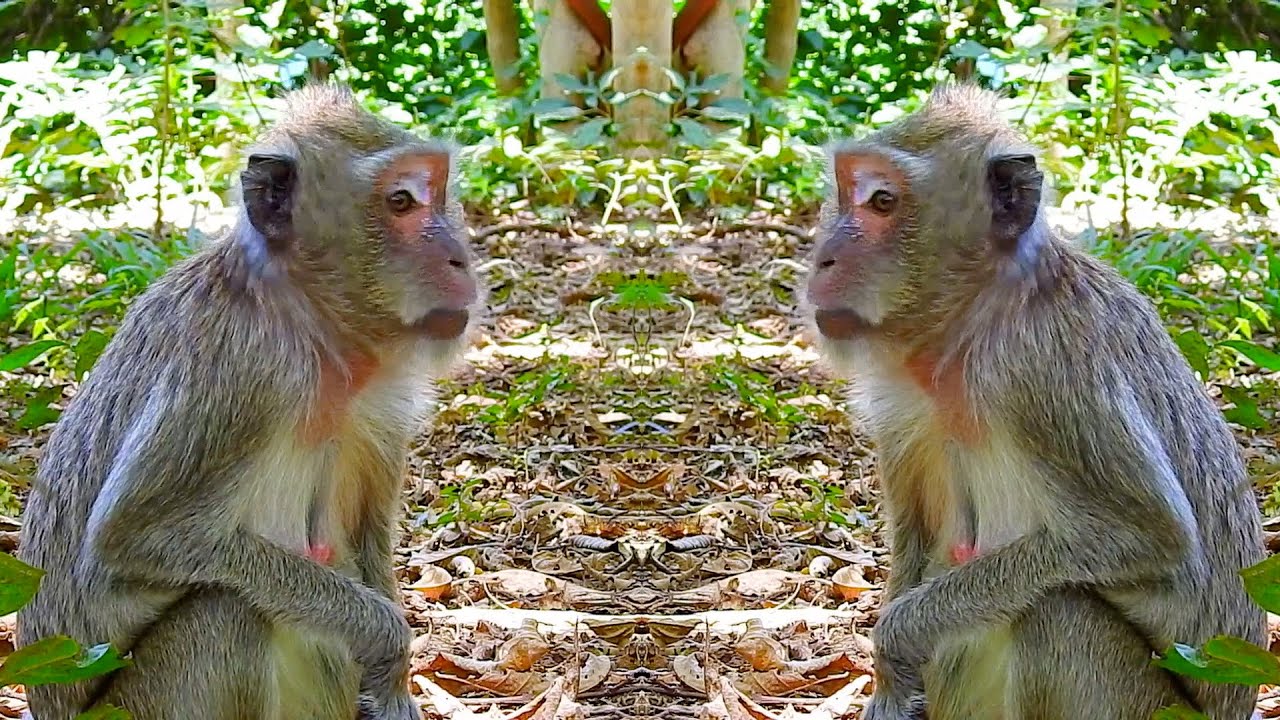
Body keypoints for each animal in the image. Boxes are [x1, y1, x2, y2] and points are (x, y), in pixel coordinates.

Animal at [16, 84, 482, 720]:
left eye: (436, 192)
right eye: (401, 201)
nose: (461, 255)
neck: (310, 324)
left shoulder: (384, 404)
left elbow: (363, 536)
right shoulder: (241, 372)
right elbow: (128, 540)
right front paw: (387, 638)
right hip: (133, 708)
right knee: (229, 611)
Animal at [803, 84, 1265, 720]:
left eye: (882, 201)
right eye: (847, 192)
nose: (822, 255)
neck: (973, 323)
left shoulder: (1042, 372)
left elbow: (1156, 539)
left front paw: (896, 637)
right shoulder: (899, 403)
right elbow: (919, 534)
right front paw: (888, 686)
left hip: (1149, 708)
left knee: (1055, 611)